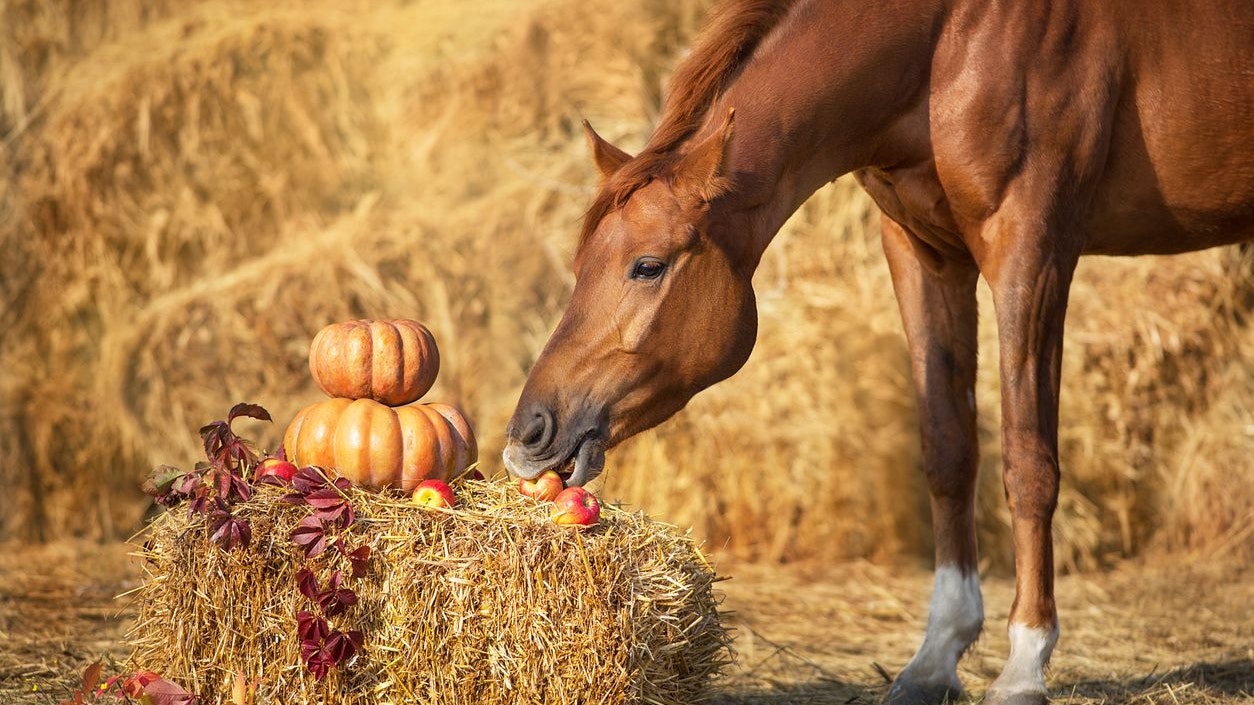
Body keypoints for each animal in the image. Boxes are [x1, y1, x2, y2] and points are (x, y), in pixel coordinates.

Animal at [501, 1, 1254, 703]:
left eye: (648, 266)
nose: (528, 434)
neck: (953, 40)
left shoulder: (1030, 252)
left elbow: (1027, 461)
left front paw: (1024, 662)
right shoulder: (924, 252)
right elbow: (949, 450)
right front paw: (936, 656)